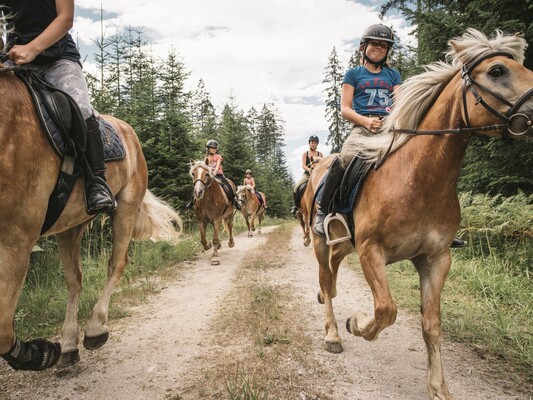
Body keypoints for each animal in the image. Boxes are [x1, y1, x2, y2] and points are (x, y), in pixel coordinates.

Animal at [0, 65, 183, 368]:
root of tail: (128, 130)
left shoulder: (16, 238)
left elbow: (3, 327)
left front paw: (38, 353)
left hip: (126, 207)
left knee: (116, 263)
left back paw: (95, 328)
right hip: (70, 225)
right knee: (74, 279)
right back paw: (69, 343)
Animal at [304, 28, 532, 400]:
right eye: (497, 70)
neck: (419, 179)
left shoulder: (436, 259)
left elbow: (432, 326)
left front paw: (439, 387)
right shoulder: (371, 251)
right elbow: (386, 309)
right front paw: (356, 324)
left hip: (344, 242)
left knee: (333, 272)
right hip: (323, 240)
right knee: (325, 274)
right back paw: (333, 333)